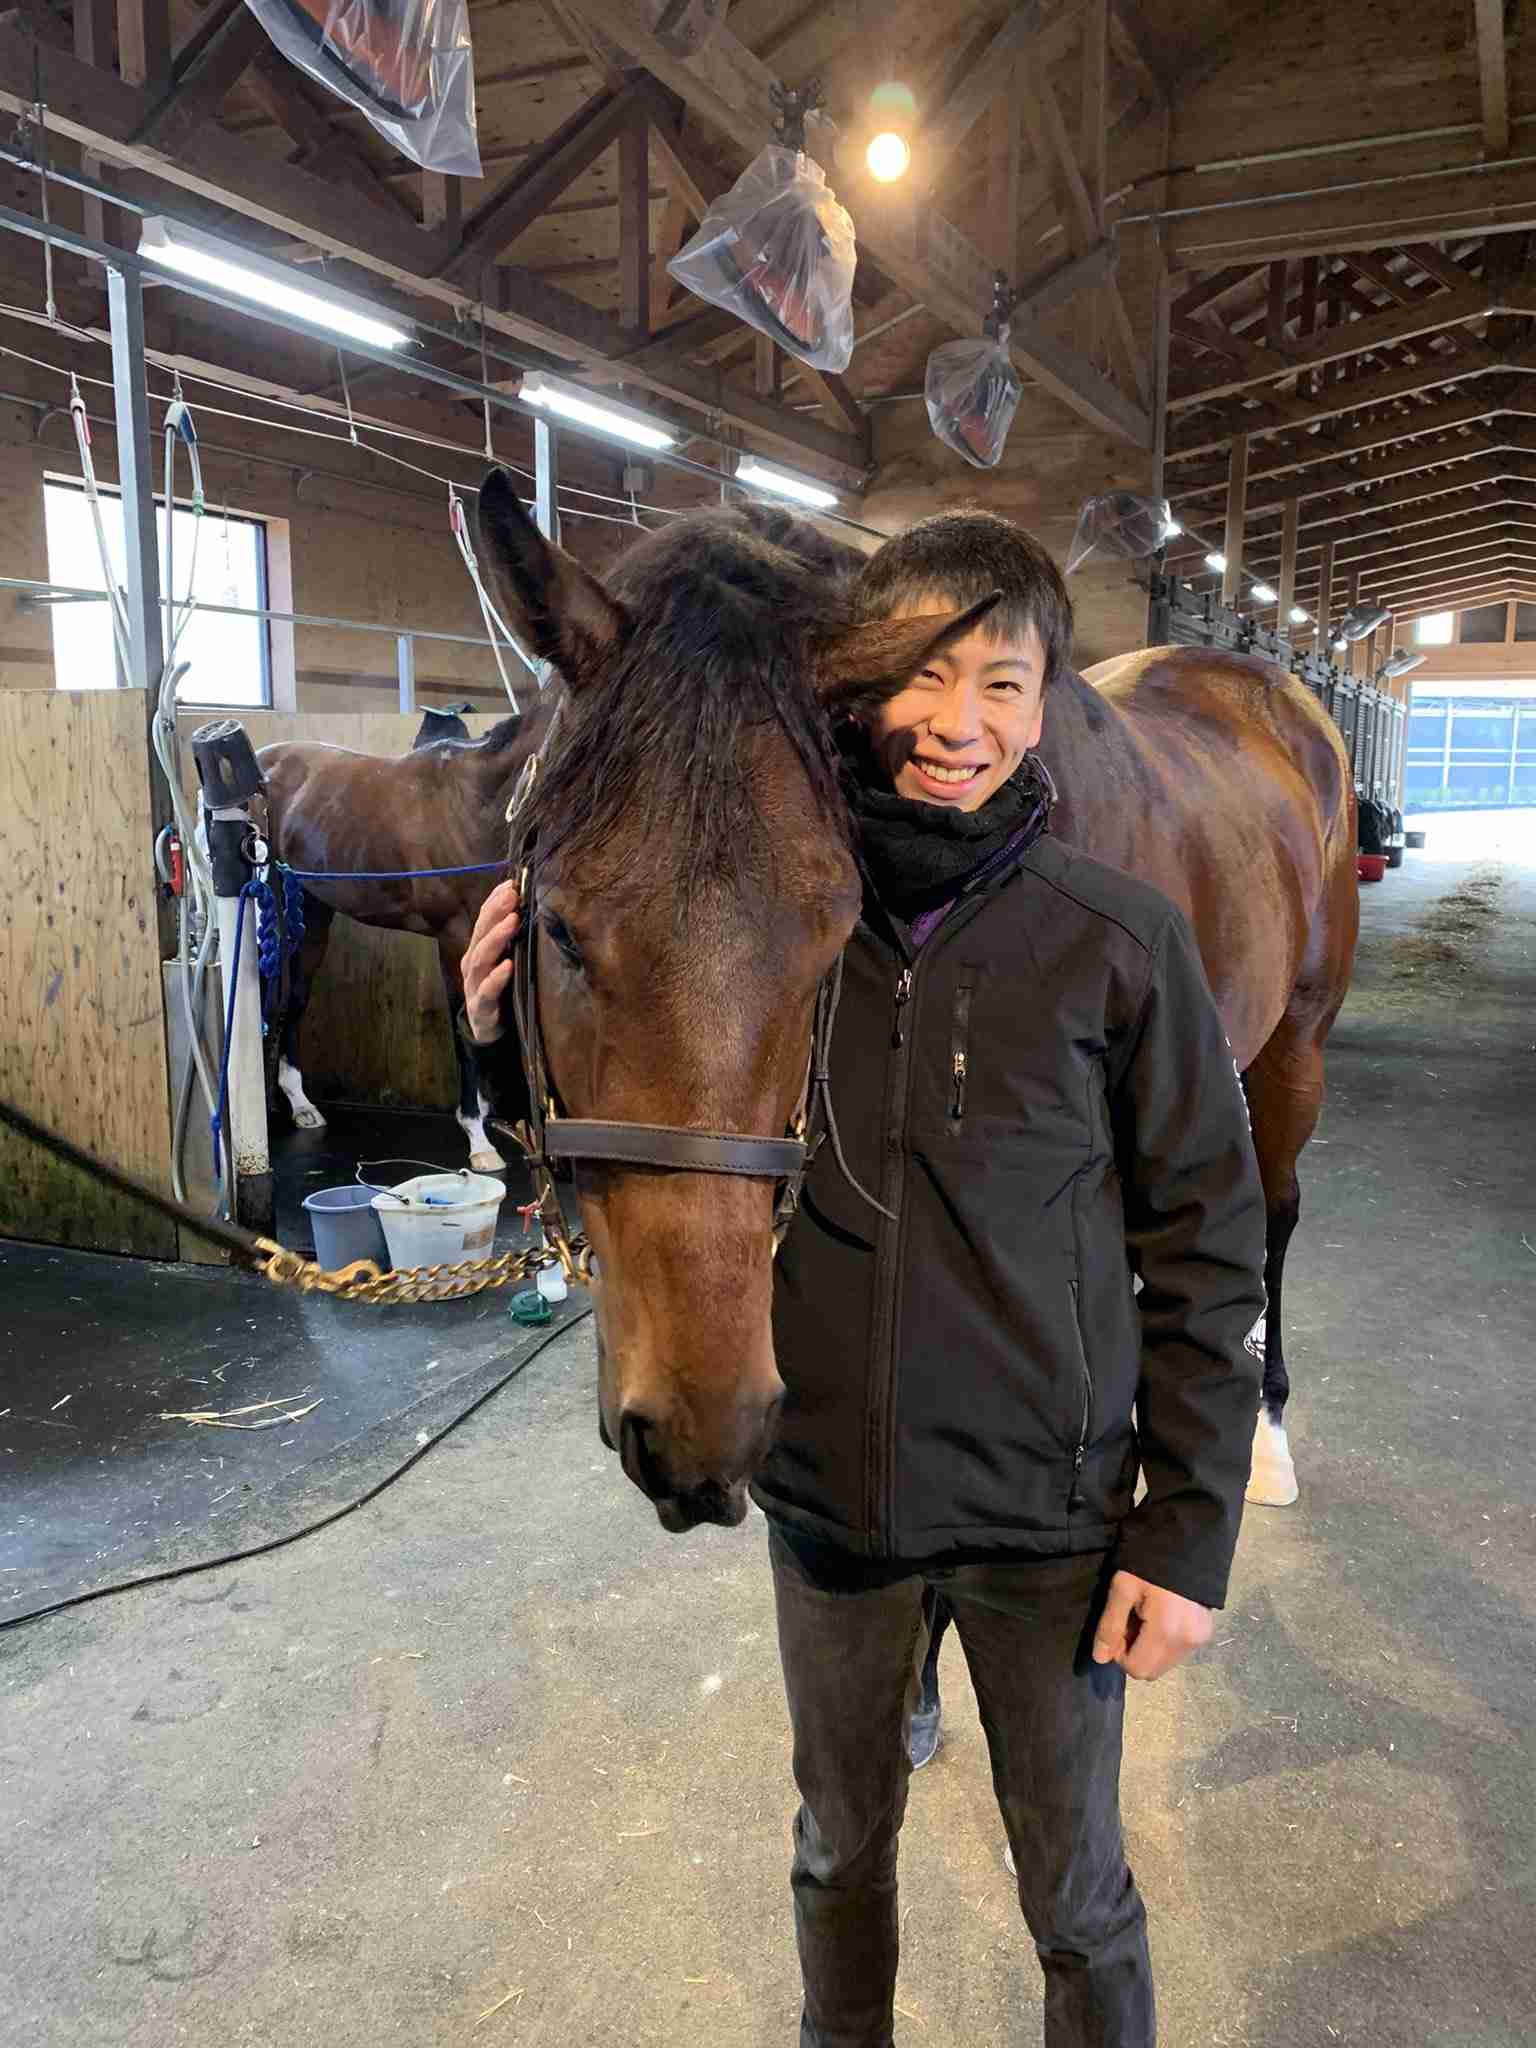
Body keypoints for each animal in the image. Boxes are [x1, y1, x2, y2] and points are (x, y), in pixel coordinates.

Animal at [256, 705, 549, 1167]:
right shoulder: (454, 936)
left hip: (313, 913)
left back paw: (300, 1104)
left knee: (295, 997)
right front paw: (477, 1137)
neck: (476, 804)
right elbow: (460, 1022)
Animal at [472, 470, 1357, 1531]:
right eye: (558, 927)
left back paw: (1265, 1434)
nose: (702, 1431)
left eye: (828, 941)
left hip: (1294, 1049)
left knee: (1274, 1212)